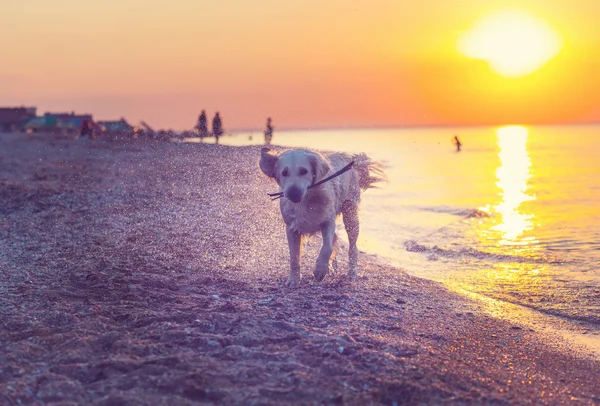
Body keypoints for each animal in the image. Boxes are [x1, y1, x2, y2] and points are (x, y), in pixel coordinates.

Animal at [260, 147, 386, 288]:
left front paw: (320, 270)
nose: (293, 193)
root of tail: (348, 158)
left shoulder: (327, 221)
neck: (307, 200)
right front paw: (293, 279)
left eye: (304, 171)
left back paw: (351, 273)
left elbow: (327, 247)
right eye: (284, 173)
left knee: (353, 248)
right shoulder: (292, 228)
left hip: (350, 215)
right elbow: (294, 257)